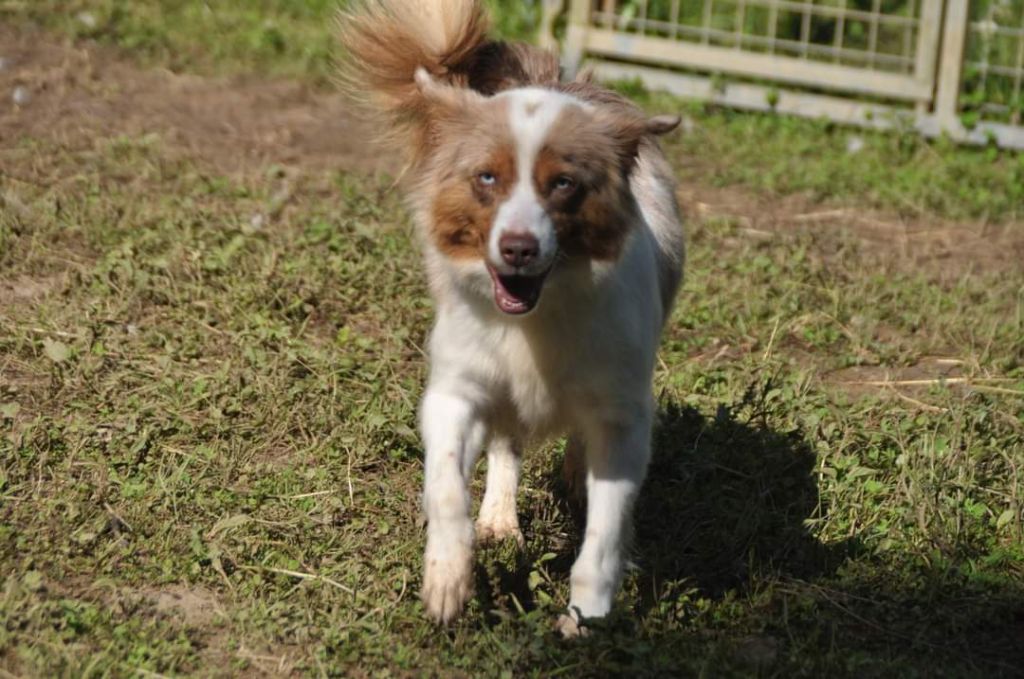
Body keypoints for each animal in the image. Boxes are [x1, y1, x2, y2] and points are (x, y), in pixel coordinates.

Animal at [339, 0, 684, 639]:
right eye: (487, 177)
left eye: (564, 183)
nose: (518, 248)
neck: (537, 321)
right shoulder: (457, 390)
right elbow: (447, 487)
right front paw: (448, 579)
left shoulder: (623, 416)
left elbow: (604, 533)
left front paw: (586, 617)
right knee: (506, 445)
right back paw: (500, 517)